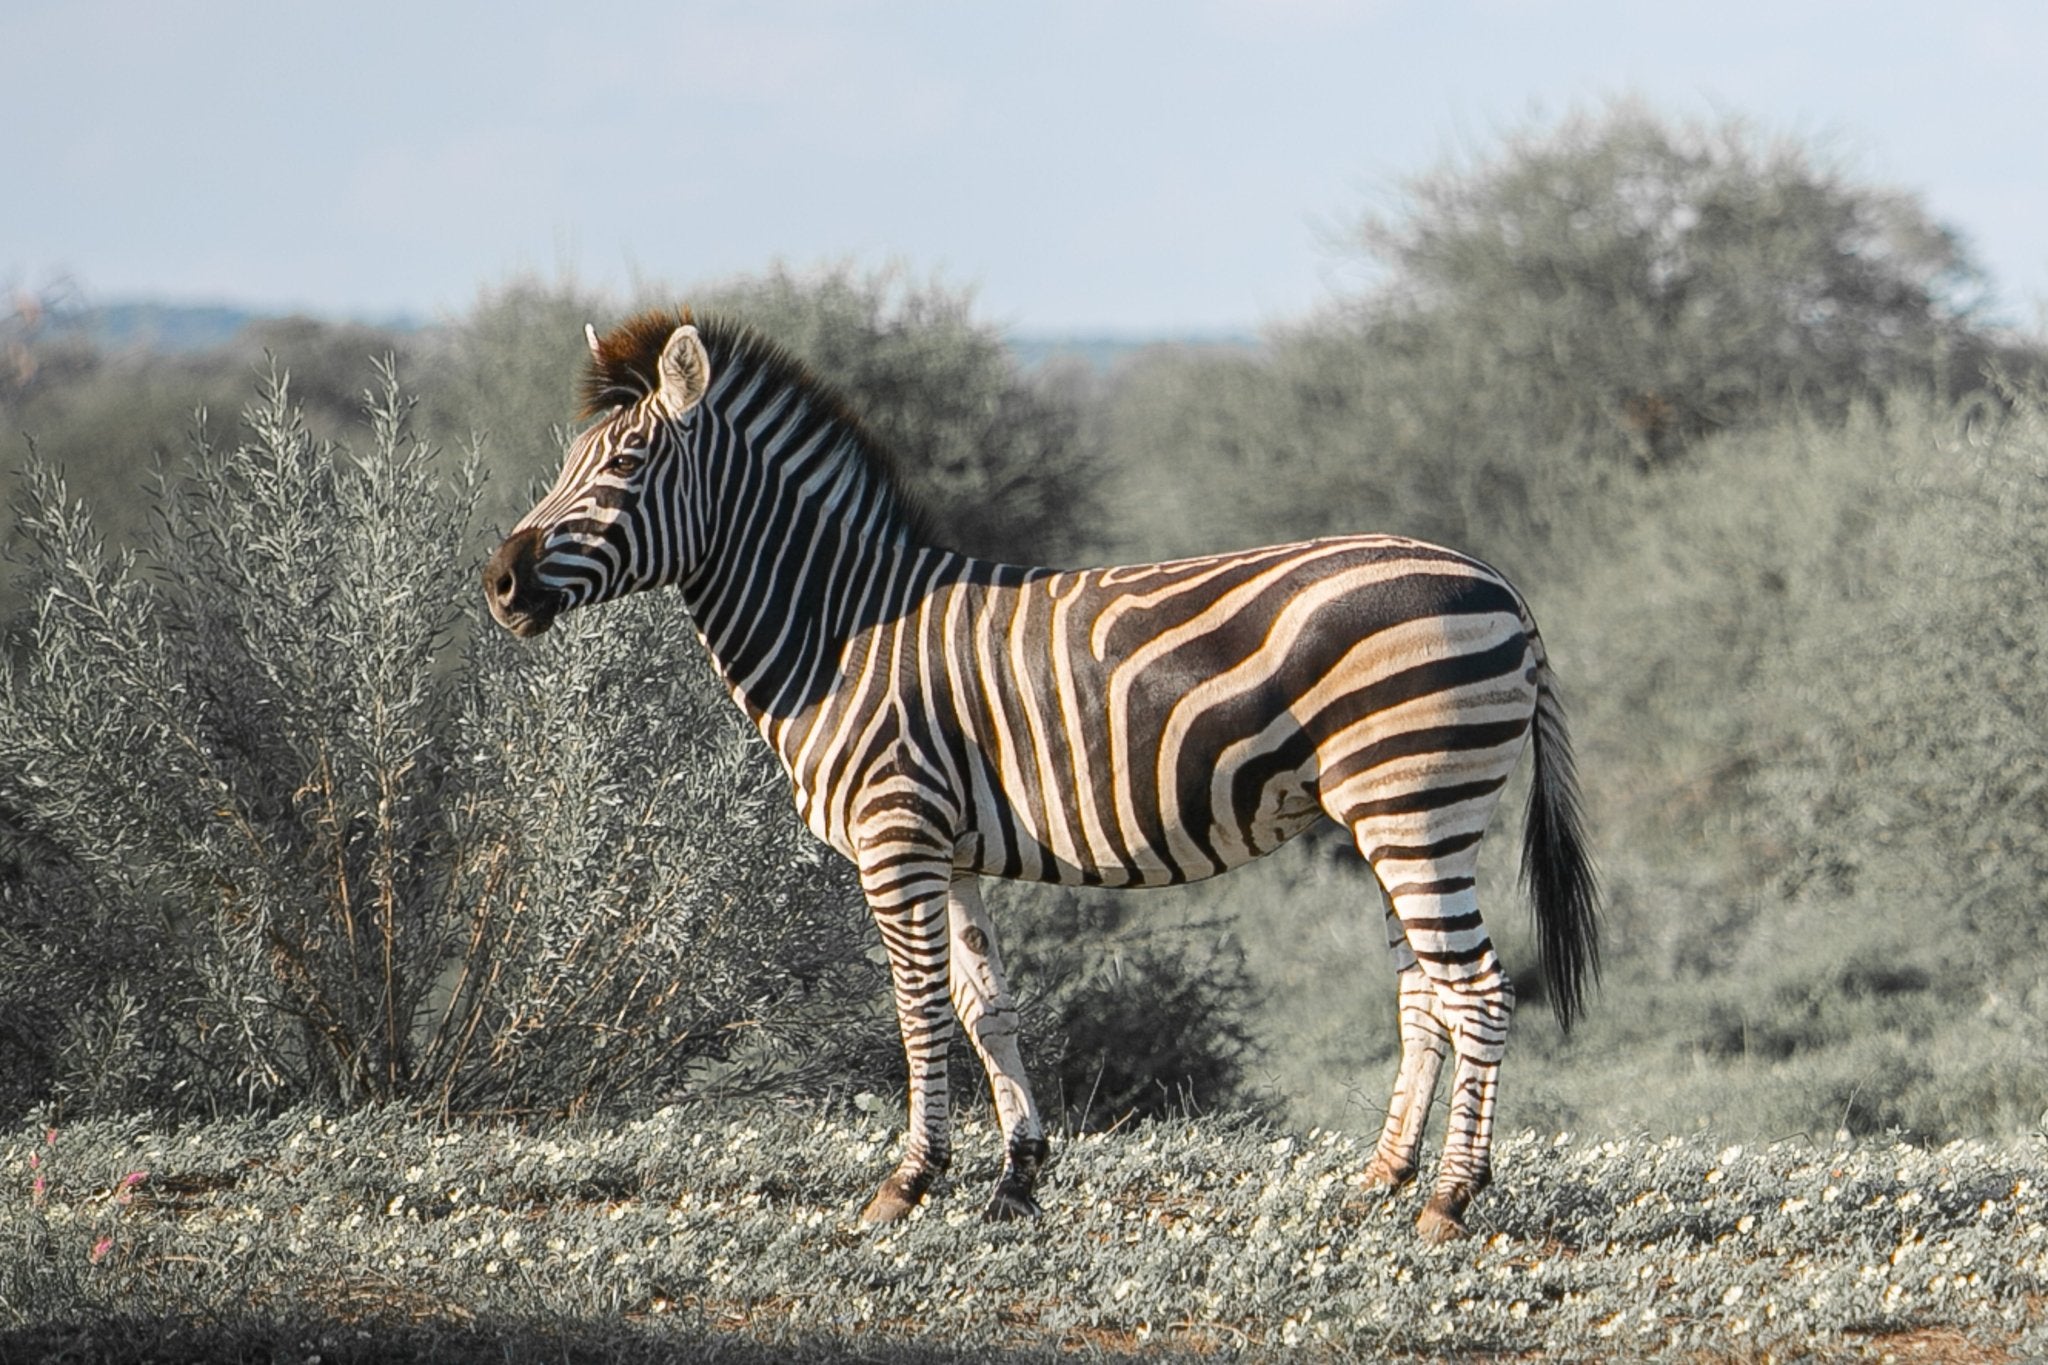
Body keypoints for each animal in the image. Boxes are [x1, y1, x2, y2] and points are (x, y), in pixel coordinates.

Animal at [482, 309, 1599, 1242]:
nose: (498, 581)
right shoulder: (952, 851)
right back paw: (1379, 1180)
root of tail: (1503, 588)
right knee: (1425, 992)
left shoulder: (896, 836)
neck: (837, 633)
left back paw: (1449, 1199)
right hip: (1388, 816)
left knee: (1478, 989)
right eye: (569, 460)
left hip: (1413, 804)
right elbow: (988, 1009)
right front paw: (1016, 1179)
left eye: (627, 463)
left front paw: (906, 1182)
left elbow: (918, 1010)